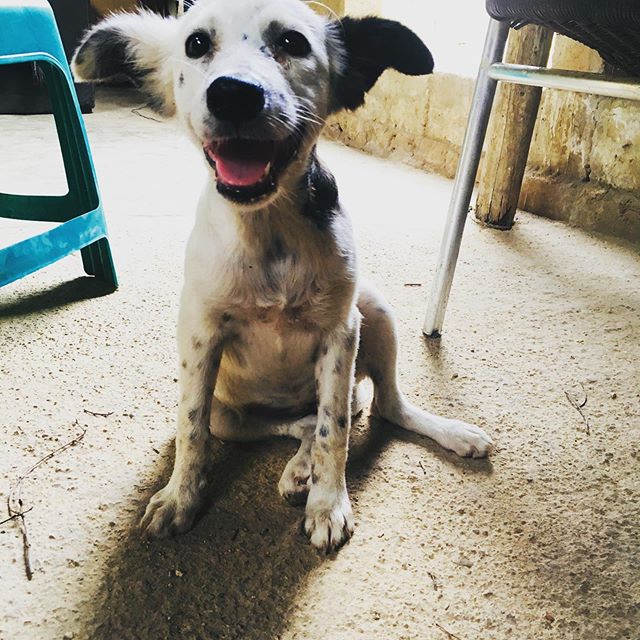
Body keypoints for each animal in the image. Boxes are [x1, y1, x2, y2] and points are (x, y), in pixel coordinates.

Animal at [72, 0, 492, 552]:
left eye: (293, 42)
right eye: (196, 44)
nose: (234, 94)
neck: (266, 230)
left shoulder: (341, 333)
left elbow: (336, 430)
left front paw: (328, 503)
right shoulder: (199, 338)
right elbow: (190, 429)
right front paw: (180, 497)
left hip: (376, 311)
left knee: (377, 409)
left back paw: (439, 436)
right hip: (230, 416)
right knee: (297, 423)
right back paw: (298, 466)